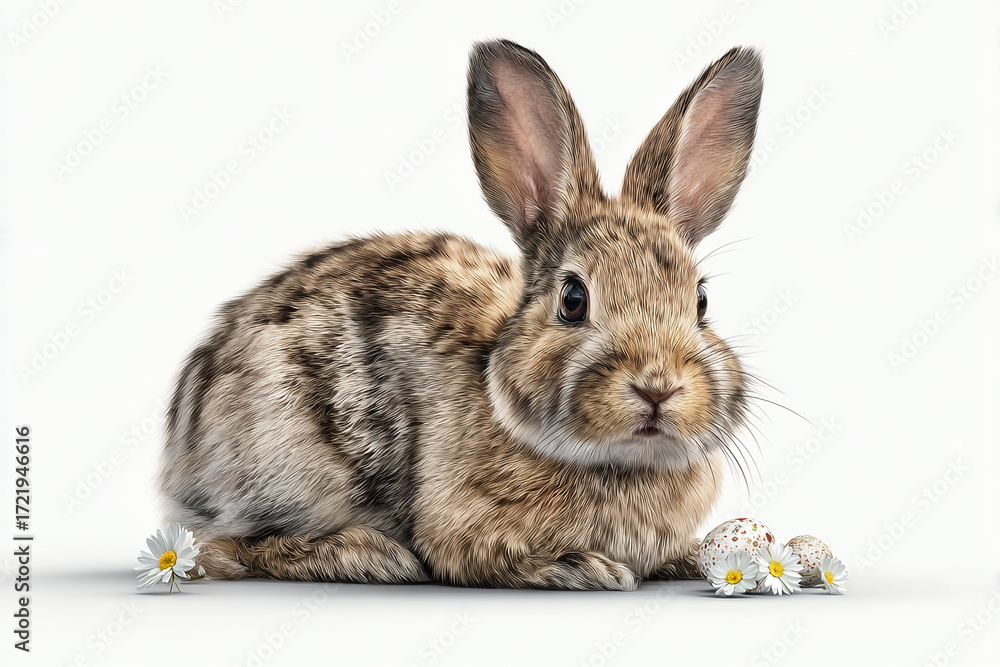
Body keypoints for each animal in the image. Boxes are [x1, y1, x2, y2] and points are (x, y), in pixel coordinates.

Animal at [159, 39, 762, 590]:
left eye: (701, 302)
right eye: (573, 299)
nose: (658, 386)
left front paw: (688, 559)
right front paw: (579, 568)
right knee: (227, 547)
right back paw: (370, 558)